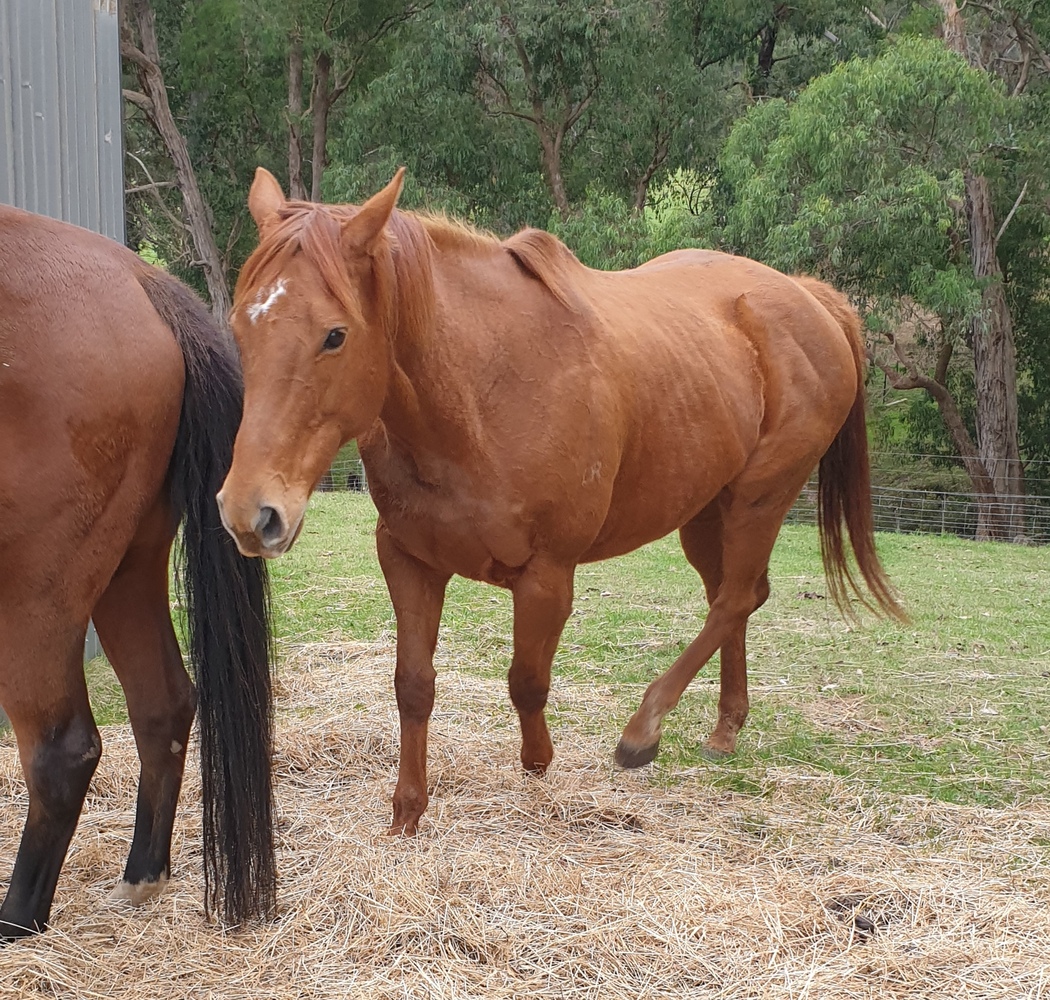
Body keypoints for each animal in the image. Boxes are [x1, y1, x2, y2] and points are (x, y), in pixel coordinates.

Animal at [0, 205, 276, 940]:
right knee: (164, 703)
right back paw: (142, 875)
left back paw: (16, 921)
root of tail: (140, 279)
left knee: (61, 752)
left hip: (35, 588)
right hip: (126, 569)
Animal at [218, 168, 905, 837]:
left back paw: (642, 730)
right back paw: (725, 728)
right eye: (238, 326)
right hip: (707, 511)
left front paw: (537, 766)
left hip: (760, 498)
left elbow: (527, 680)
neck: (481, 394)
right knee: (736, 598)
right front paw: (407, 812)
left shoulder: (547, 574)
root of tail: (809, 296)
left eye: (335, 336)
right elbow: (412, 685)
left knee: (733, 600)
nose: (250, 512)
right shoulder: (409, 560)